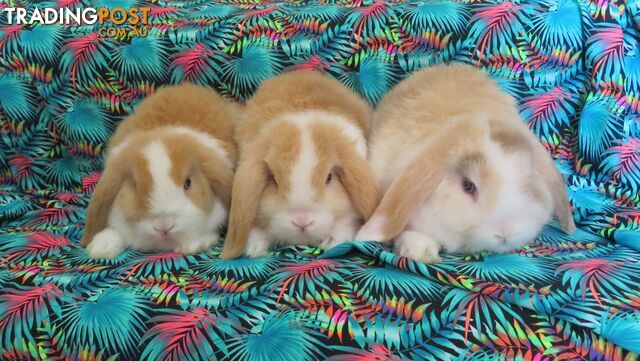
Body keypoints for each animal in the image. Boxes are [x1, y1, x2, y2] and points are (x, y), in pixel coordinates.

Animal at [220, 69, 380, 258]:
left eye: (329, 178)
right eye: (273, 180)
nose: (302, 221)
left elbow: (345, 221)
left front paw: (333, 242)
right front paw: (254, 249)